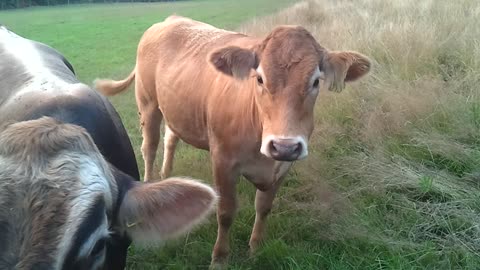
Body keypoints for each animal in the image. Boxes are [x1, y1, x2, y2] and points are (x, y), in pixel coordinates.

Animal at [94, 15, 372, 266]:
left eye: (315, 81)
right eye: (259, 78)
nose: (284, 145)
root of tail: (167, 21)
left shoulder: (283, 166)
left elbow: (264, 207)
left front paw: (256, 248)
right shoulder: (223, 162)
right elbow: (226, 213)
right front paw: (219, 258)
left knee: (170, 138)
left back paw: (166, 175)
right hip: (148, 103)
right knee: (149, 147)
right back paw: (150, 182)